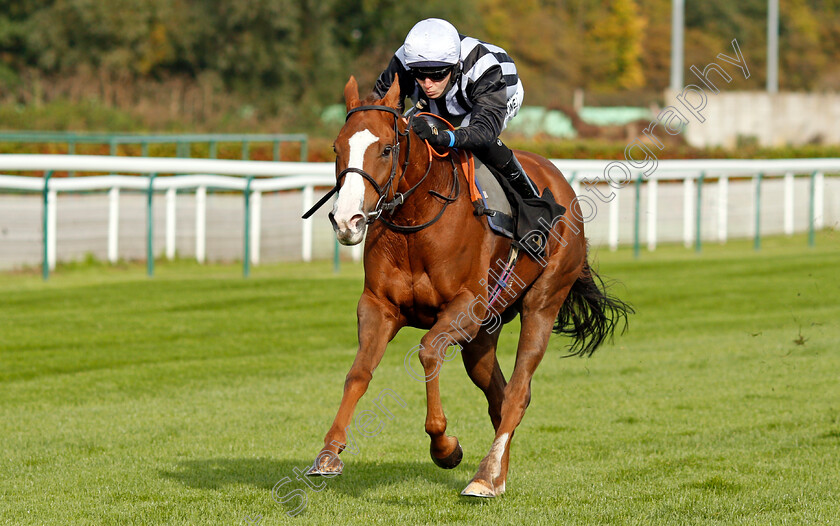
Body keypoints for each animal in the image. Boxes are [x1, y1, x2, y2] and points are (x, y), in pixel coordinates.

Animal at [304, 74, 632, 500]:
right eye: (336, 148)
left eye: (387, 148)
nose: (347, 221)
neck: (417, 221)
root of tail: (561, 183)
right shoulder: (378, 305)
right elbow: (359, 372)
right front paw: (329, 452)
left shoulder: (466, 306)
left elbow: (428, 351)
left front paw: (445, 447)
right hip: (484, 333)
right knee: (499, 395)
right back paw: (496, 475)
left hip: (542, 302)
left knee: (518, 393)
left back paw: (484, 476)